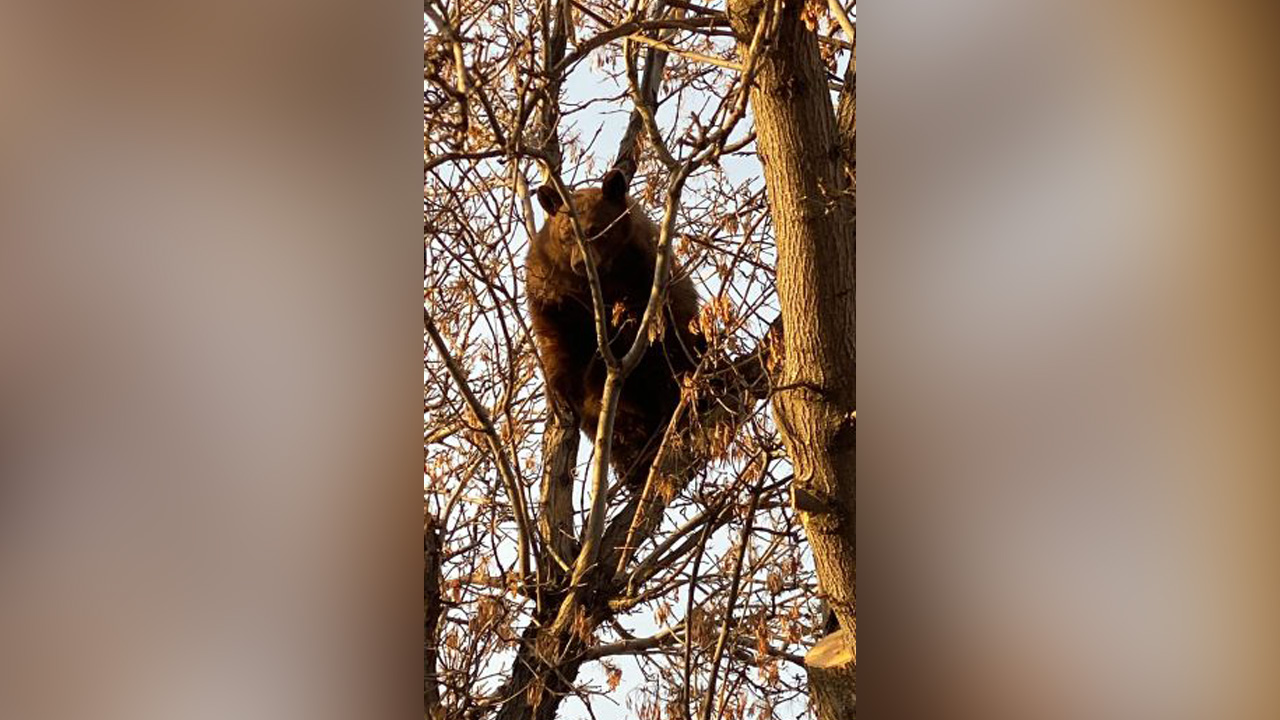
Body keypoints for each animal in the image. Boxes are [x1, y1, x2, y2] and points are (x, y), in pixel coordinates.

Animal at [526, 168, 704, 489]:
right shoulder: (551, 291)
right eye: (567, 235)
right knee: (614, 418)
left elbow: (651, 329)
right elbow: (555, 344)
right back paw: (633, 464)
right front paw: (559, 393)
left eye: (599, 230)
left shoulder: (644, 273)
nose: (581, 263)